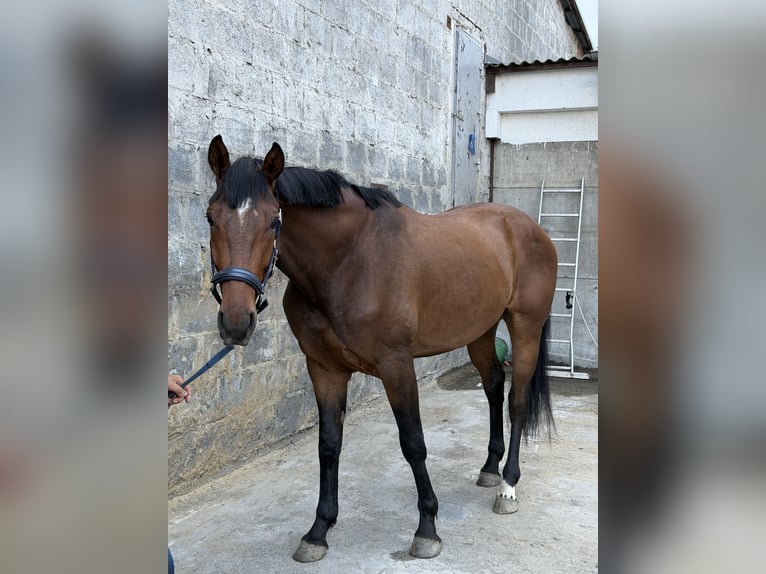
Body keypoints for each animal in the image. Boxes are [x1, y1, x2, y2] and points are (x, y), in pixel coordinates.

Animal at [204, 135, 557, 562]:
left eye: (274, 220)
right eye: (210, 217)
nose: (236, 321)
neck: (348, 262)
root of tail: (529, 227)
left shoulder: (396, 365)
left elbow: (413, 443)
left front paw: (427, 528)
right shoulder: (323, 368)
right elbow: (328, 446)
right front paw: (318, 531)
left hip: (525, 328)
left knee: (517, 401)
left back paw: (508, 486)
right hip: (480, 330)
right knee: (491, 385)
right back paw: (490, 468)